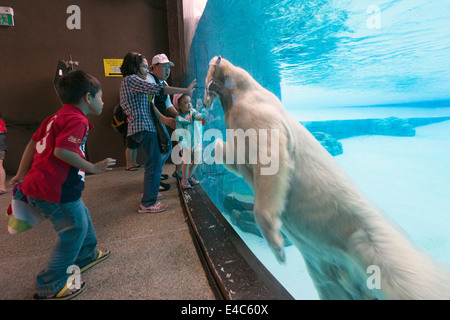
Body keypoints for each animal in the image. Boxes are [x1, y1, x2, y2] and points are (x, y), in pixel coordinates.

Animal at [204, 56, 450, 298]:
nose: (204, 100)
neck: (242, 92)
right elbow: (236, 157)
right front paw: (214, 146)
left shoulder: (261, 116)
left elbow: (270, 159)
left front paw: (278, 247)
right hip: (325, 264)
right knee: (332, 286)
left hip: (371, 243)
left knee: (408, 282)